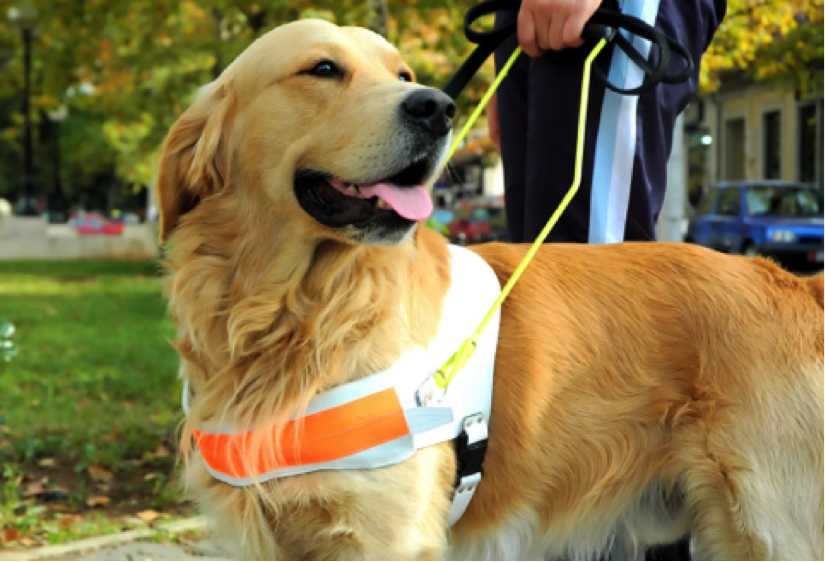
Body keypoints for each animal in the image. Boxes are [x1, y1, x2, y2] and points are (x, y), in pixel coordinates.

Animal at [158, 18, 824, 560]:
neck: (295, 315)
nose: (438, 107)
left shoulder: (387, 537)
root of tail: (792, 283)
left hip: (770, 525)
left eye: (403, 74)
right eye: (323, 69)